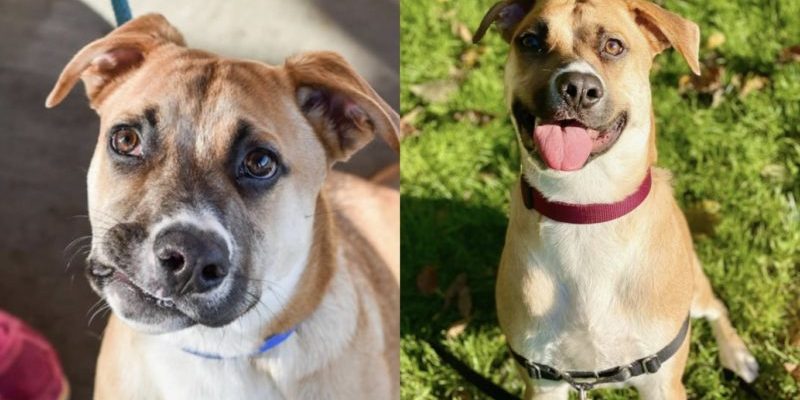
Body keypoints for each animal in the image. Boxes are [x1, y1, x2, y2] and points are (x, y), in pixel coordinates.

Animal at [476, 1, 764, 398]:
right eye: (531, 41)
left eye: (614, 46)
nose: (577, 88)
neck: (586, 209)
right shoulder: (544, 380)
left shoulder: (662, 381)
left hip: (696, 289)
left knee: (717, 307)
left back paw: (737, 354)